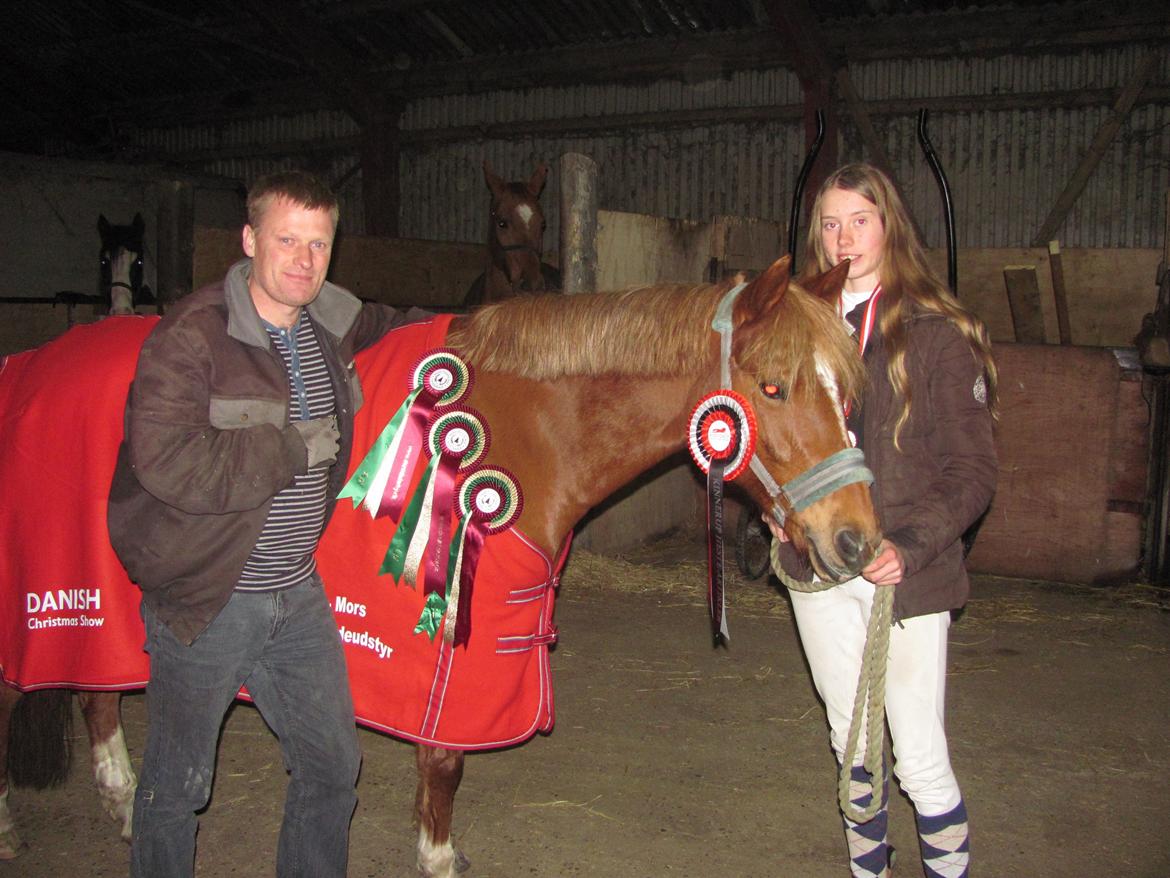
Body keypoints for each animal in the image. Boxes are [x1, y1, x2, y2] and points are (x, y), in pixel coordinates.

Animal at [0, 255, 880, 875]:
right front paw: (436, 854)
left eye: (846, 389)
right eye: (773, 386)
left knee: (95, 693)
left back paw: (120, 801)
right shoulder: (451, 637)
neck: (525, 431)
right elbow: (445, 759)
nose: (856, 542)